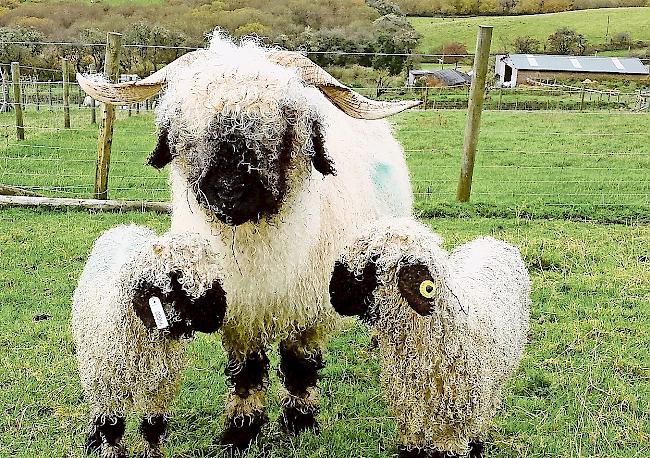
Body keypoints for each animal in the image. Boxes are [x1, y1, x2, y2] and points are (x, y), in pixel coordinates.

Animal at [71, 226, 227, 458]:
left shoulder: (161, 388)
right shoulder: (106, 386)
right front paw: (109, 449)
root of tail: (126, 225)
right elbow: (111, 427)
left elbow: (153, 426)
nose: (218, 315)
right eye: (176, 281)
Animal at [330, 218, 528, 458]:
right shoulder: (410, 418)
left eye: (372, 264)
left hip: (493, 387)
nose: (332, 293)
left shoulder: (454, 427)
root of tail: (490, 240)